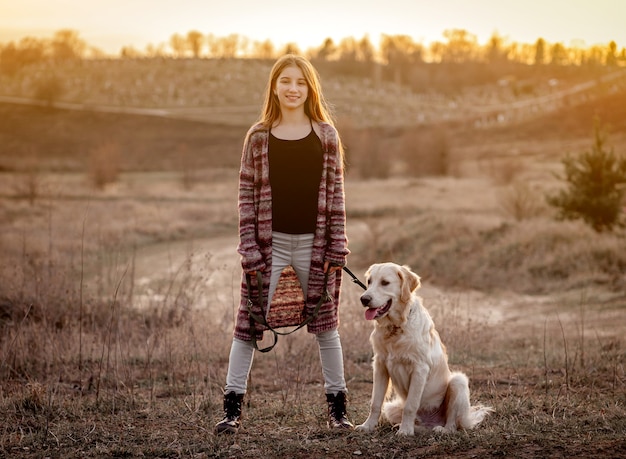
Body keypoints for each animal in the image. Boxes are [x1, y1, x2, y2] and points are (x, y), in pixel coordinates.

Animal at [354, 264, 490, 436]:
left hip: (458, 381)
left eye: (385, 283)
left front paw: (405, 431)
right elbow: (375, 403)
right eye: (369, 282)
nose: (364, 299)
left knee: (452, 424)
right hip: (391, 407)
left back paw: (441, 429)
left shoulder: (419, 368)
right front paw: (367, 426)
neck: (397, 328)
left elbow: (410, 406)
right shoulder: (380, 365)